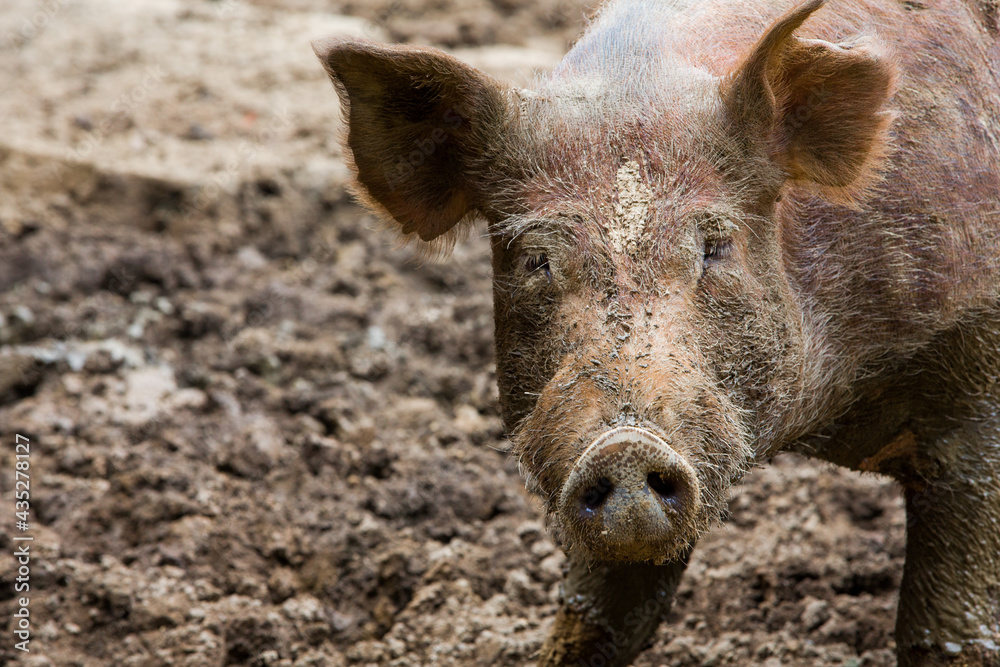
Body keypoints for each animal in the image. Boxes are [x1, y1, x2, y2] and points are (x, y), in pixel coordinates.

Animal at [312, 0, 1000, 664]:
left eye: (715, 247)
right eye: (535, 260)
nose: (625, 446)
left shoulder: (977, 384)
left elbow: (948, 628)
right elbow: (601, 615)